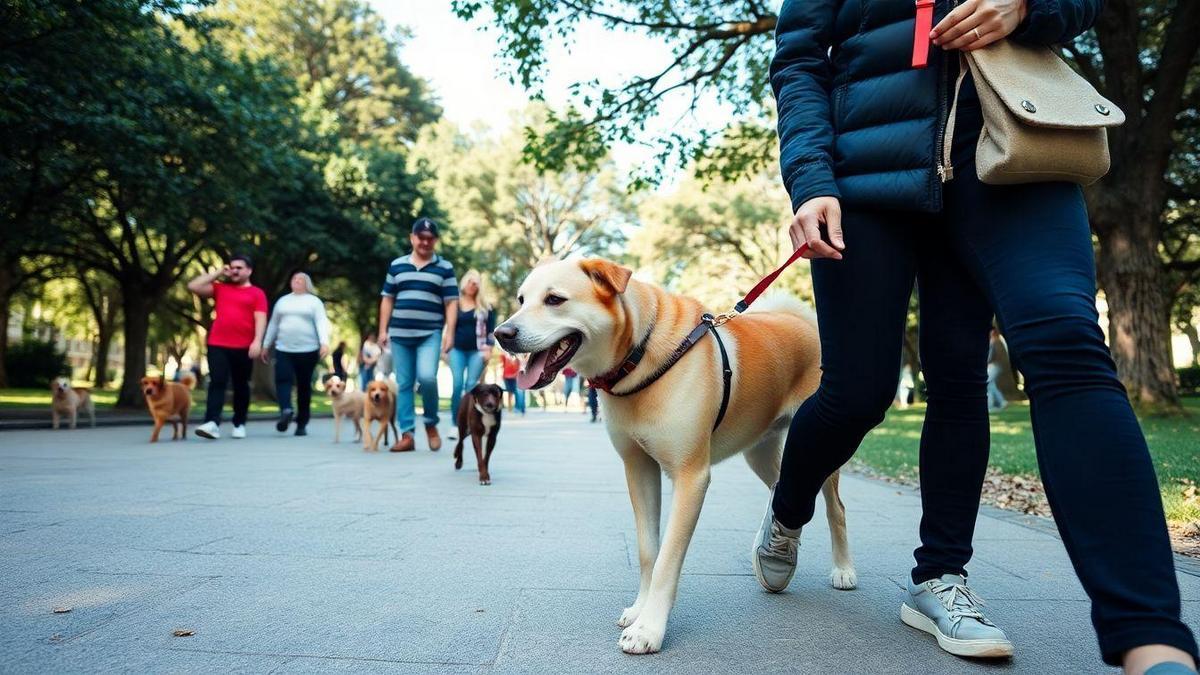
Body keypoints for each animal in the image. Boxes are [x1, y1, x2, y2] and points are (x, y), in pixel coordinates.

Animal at [489, 255, 854, 653]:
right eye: (521, 300)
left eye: (554, 299)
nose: (501, 333)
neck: (641, 353)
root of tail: (799, 321)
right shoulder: (639, 469)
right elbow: (648, 550)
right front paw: (639, 609)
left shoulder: (691, 478)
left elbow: (667, 559)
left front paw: (649, 628)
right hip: (758, 450)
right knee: (780, 487)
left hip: (822, 439)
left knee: (835, 508)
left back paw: (843, 570)